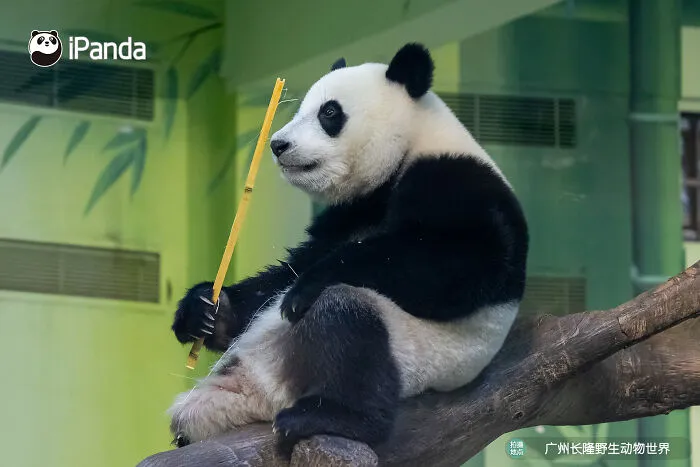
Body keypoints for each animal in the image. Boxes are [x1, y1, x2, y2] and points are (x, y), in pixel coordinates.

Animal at [168, 43, 529, 457]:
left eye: (329, 112)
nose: (277, 144)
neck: (412, 143)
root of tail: (265, 394)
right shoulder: (350, 211)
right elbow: (291, 267)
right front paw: (205, 311)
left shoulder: (457, 181)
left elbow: (465, 262)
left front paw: (304, 289)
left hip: (413, 351)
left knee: (345, 322)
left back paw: (329, 415)